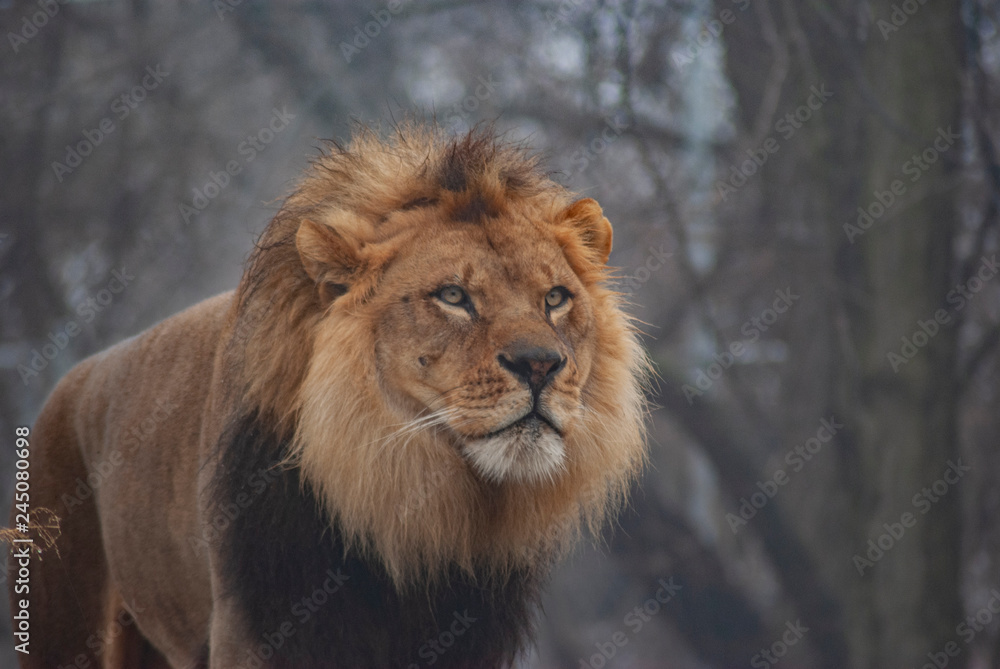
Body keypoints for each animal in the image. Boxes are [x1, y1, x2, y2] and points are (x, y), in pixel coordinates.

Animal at [11, 122, 652, 664]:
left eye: (555, 298)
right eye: (453, 296)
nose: (540, 364)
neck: (415, 508)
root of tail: (69, 383)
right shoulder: (258, 631)